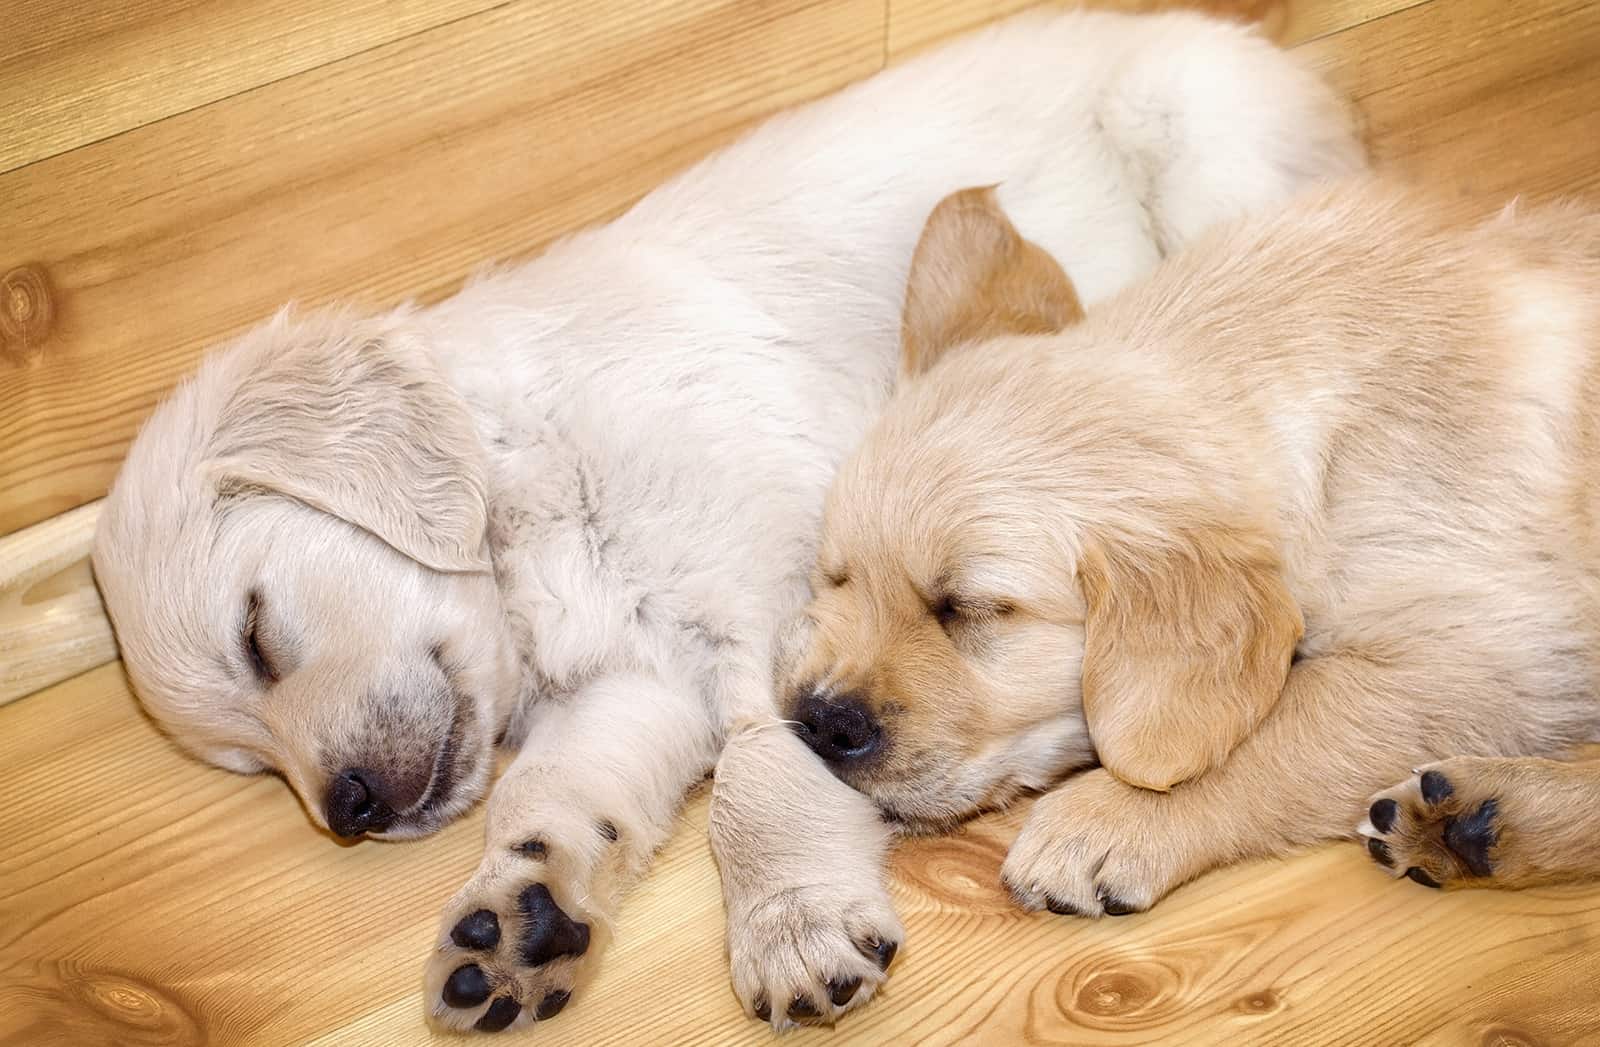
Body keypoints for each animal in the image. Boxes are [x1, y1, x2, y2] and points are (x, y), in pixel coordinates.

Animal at [90, 8, 1363, 1037]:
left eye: (258, 634)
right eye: (247, 762)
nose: (349, 811)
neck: (530, 478)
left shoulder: (775, 599)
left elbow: (765, 768)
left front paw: (789, 921)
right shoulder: (633, 683)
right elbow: (551, 795)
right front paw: (518, 915)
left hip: (1199, 142)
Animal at [780, 178, 1600, 922]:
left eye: (968, 608)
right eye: (837, 579)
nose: (818, 721)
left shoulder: (1499, 645)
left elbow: (1290, 721)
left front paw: (1111, 817)